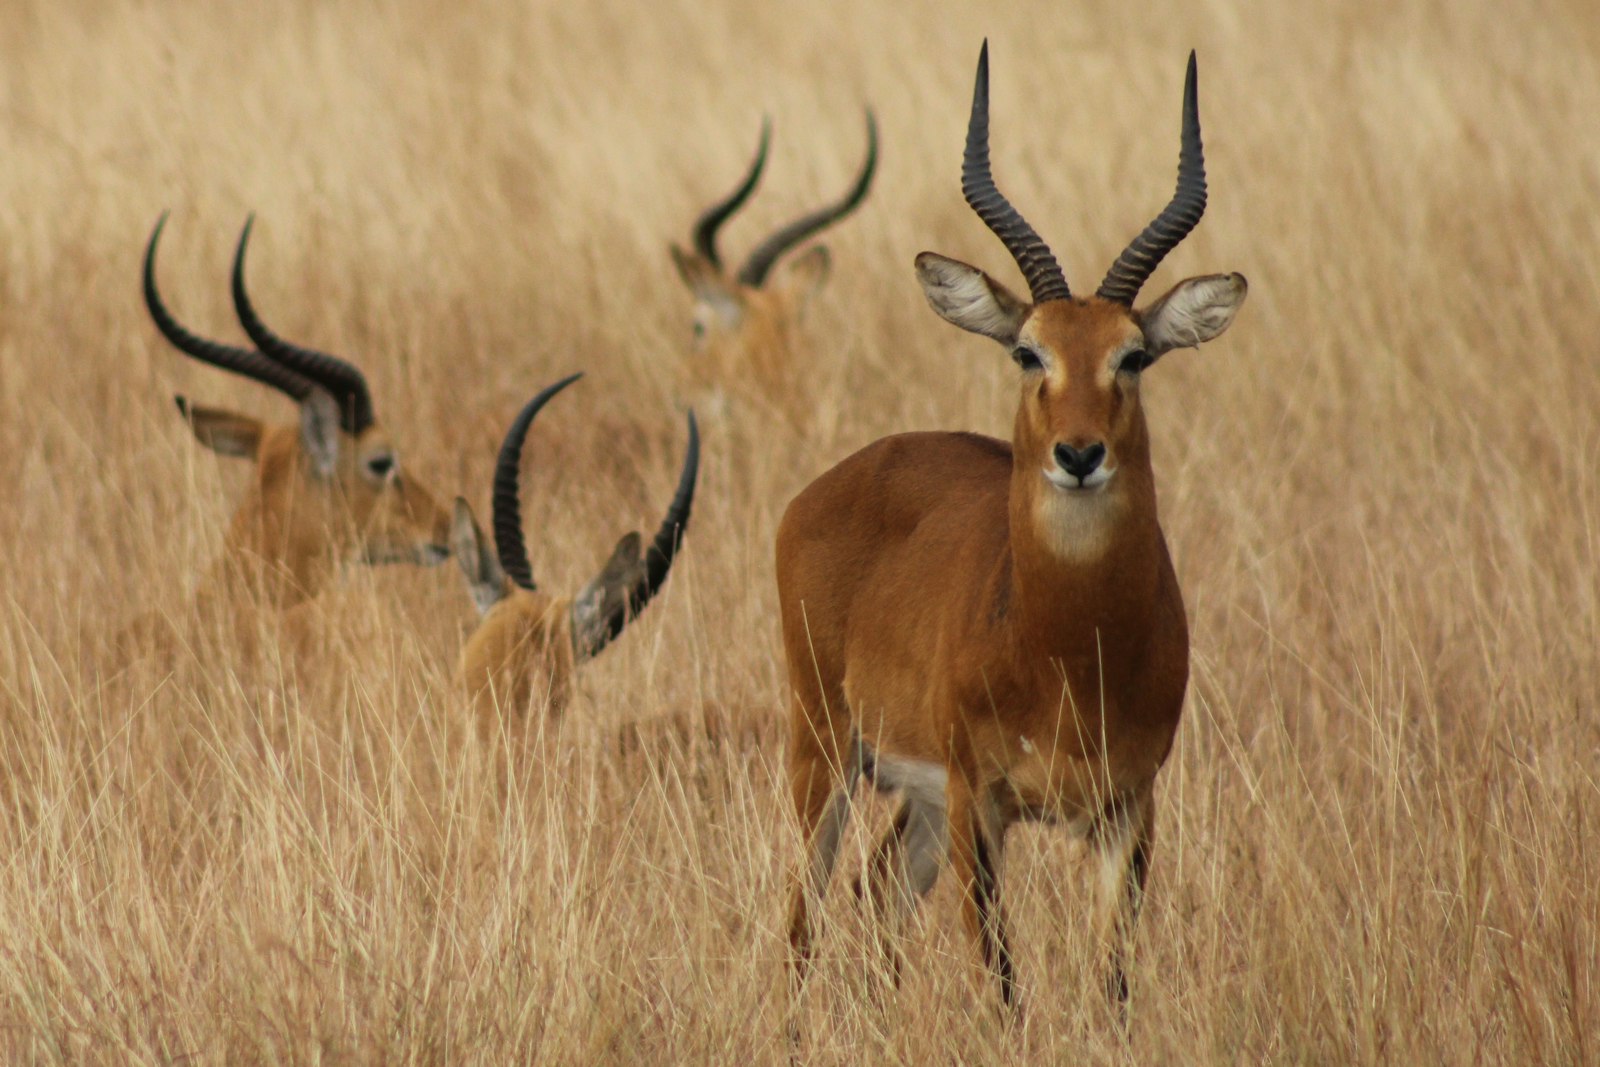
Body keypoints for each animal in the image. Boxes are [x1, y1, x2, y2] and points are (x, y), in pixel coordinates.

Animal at [780, 45, 1241, 1017]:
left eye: (1133, 355)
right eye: (1029, 350)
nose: (1079, 452)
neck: (1067, 649)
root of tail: (839, 477)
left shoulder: (1128, 807)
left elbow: (1111, 987)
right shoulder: (980, 799)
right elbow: (1001, 985)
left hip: (911, 798)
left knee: (872, 891)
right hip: (826, 750)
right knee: (802, 919)